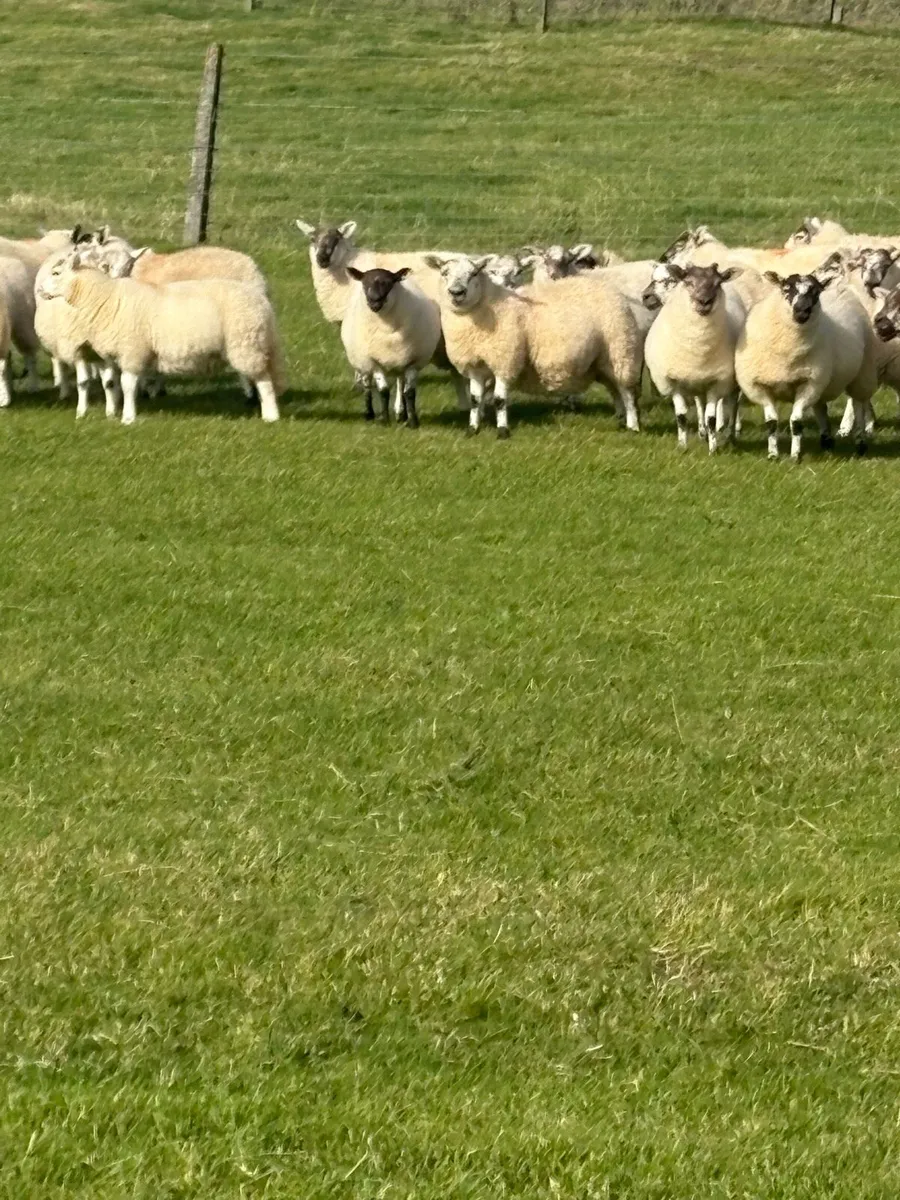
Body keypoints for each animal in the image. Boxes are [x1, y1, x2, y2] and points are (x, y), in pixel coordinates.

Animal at [36, 253, 285, 425]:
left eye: (56, 273)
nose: (39, 290)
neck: (104, 298)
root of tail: (262, 301)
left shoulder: (132, 351)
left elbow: (127, 385)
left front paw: (128, 417)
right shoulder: (108, 355)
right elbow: (111, 384)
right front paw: (112, 412)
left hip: (246, 343)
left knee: (263, 380)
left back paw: (271, 415)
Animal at [340, 266, 441, 428]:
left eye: (389, 283)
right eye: (364, 284)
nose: (374, 302)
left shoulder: (413, 361)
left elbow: (410, 392)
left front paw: (413, 421)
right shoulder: (374, 362)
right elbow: (383, 391)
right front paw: (384, 420)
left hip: (400, 361)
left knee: (401, 384)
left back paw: (402, 414)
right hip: (363, 361)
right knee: (367, 385)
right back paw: (369, 414)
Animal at [424, 254, 643, 438]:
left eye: (474, 273)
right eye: (444, 273)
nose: (457, 293)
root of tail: (609, 290)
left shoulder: (505, 360)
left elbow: (499, 399)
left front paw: (502, 431)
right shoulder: (475, 365)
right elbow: (475, 399)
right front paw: (472, 429)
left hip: (620, 350)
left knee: (627, 392)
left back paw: (633, 426)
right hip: (601, 362)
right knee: (614, 389)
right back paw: (620, 420)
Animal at [642, 262, 747, 453]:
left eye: (717, 283)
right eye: (688, 282)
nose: (704, 302)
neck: (698, 348)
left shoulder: (717, 381)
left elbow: (712, 418)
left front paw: (713, 449)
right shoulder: (673, 382)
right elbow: (681, 416)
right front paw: (682, 446)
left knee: (733, 404)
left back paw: (730, 436)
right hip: (697, 382)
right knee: (700, 404)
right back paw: (702, 432)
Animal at [734, 270, 877, 461]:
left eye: (816, 292)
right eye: (786, 288)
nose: (802, 311)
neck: (787, 351)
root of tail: (839, 290)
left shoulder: (808, 384)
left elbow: (796, 422)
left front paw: (795, 456)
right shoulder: (760, 387)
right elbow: (771, 423)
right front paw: (773, 455)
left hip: (861, 374)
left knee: (858, 406)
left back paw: (860, 444)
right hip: (823, 382)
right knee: (821, 408)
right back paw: (826, 441)